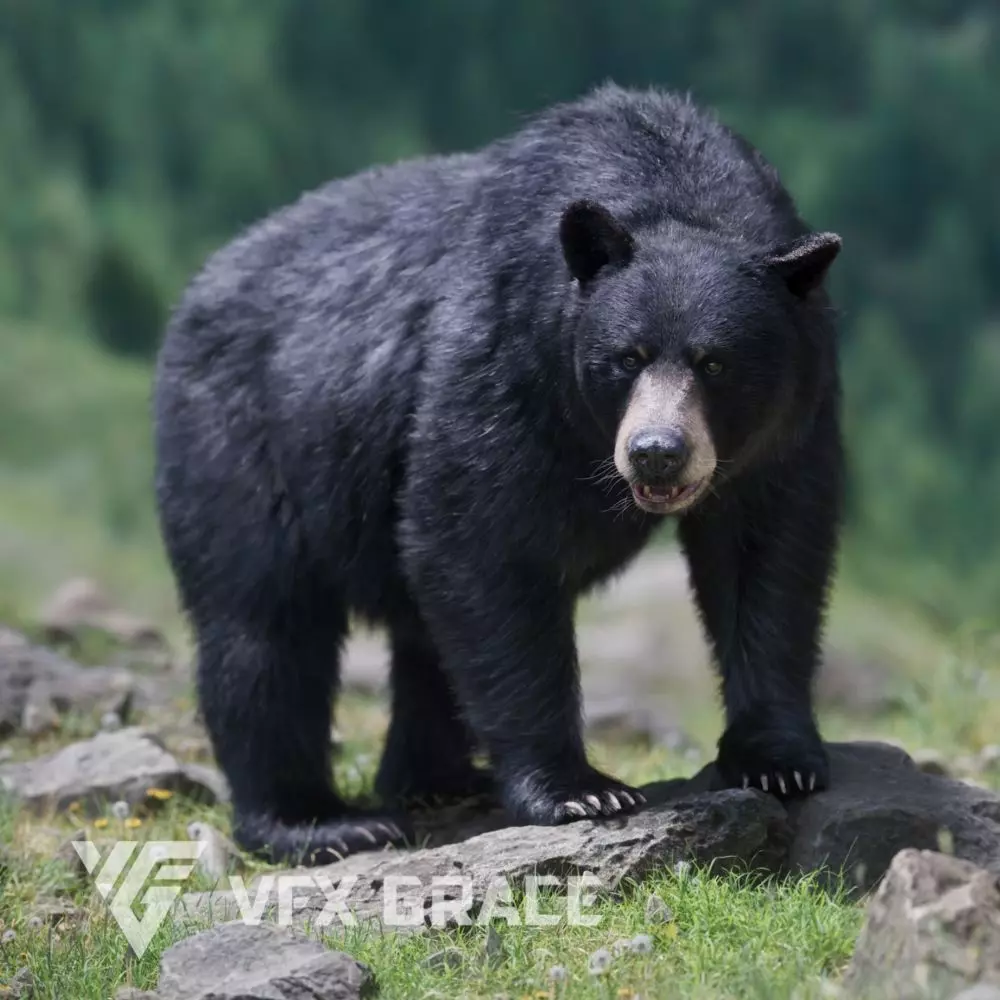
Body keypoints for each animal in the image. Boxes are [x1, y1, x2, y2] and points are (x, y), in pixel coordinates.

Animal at [153, 83, 844, 865]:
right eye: (627, 357)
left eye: (716, 362)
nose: (657, 451)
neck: (668, 184)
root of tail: (194, 293)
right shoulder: (506, 356)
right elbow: (481, 538)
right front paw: (581, 789)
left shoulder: (797, 407)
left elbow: (768, 552)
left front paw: (779, 759)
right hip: (243, 439)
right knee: (265, 623)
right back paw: (317, 819)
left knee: (418, 638)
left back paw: (438, 782)